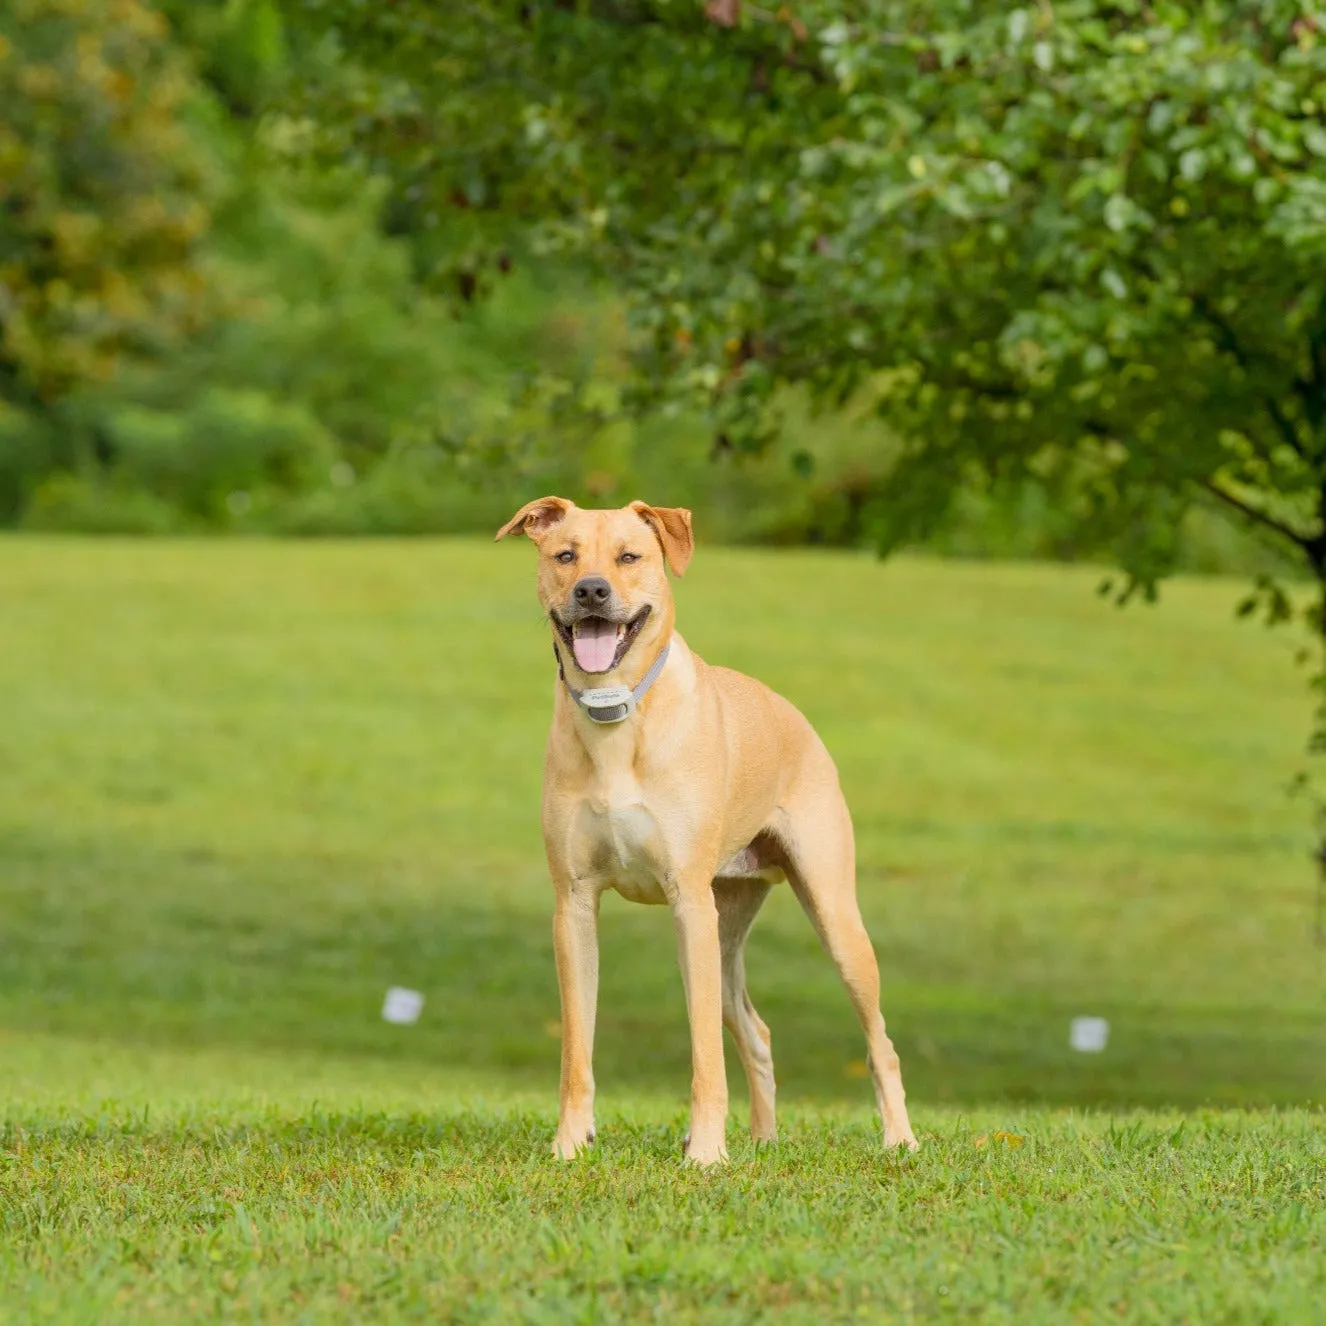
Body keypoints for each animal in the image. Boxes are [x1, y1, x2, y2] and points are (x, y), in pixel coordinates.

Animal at [495, 495, 912, 1161]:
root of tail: (796, 716)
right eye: (564, 555)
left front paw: (707, 1155)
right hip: (725, 928)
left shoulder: (688, 901)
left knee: (879, 1042)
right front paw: (569, 1145)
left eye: (629, 557)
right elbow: (576, 1049)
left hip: (828, 915)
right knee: (757, 1030)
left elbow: (705, 1057)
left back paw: (899, 1139)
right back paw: (764, 1140)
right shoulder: (574, 905)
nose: (591, 590)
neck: (617, 718)